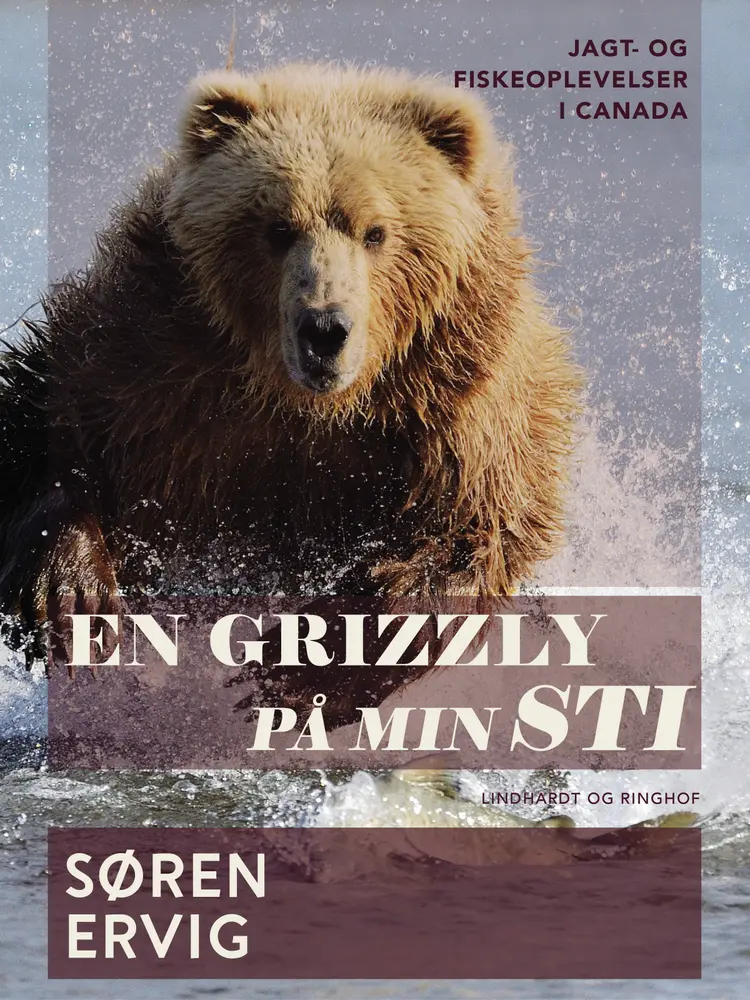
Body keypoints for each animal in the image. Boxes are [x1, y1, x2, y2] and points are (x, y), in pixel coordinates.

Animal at [0, 64, 581, 725]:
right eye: (277, 228)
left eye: (376, 231)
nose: (324, 329)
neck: (305, 405)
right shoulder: (157, 351)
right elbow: (51, 410)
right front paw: (73, 593)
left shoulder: (456, 398)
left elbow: (469, 530)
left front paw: (294, 663)